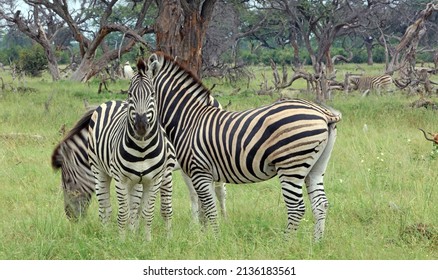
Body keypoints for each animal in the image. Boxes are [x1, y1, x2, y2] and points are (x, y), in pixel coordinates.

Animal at [87, 57, 176, 241]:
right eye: (130, 94)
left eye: (152, 94)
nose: (141, 126)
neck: (142, 148)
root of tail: (111, 101)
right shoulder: (120, 179)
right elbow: (123, 213)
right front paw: (122, 242)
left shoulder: (153, 180)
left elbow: (147, 212)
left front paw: (146, 241)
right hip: (99, 170)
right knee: (105, 206)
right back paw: (106, 234)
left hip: (136, 181)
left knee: (134, 209)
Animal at [147, 52, 342, 241]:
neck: (189, 119)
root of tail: (323, 113)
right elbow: (202, 207)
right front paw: (202, 237)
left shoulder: (194, 169)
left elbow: (203, 207)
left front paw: (208, 240)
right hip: (316, 166)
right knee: (321, 204)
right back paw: (316, 243)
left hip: (291, 164)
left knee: (297, 207)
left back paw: (287, 244)